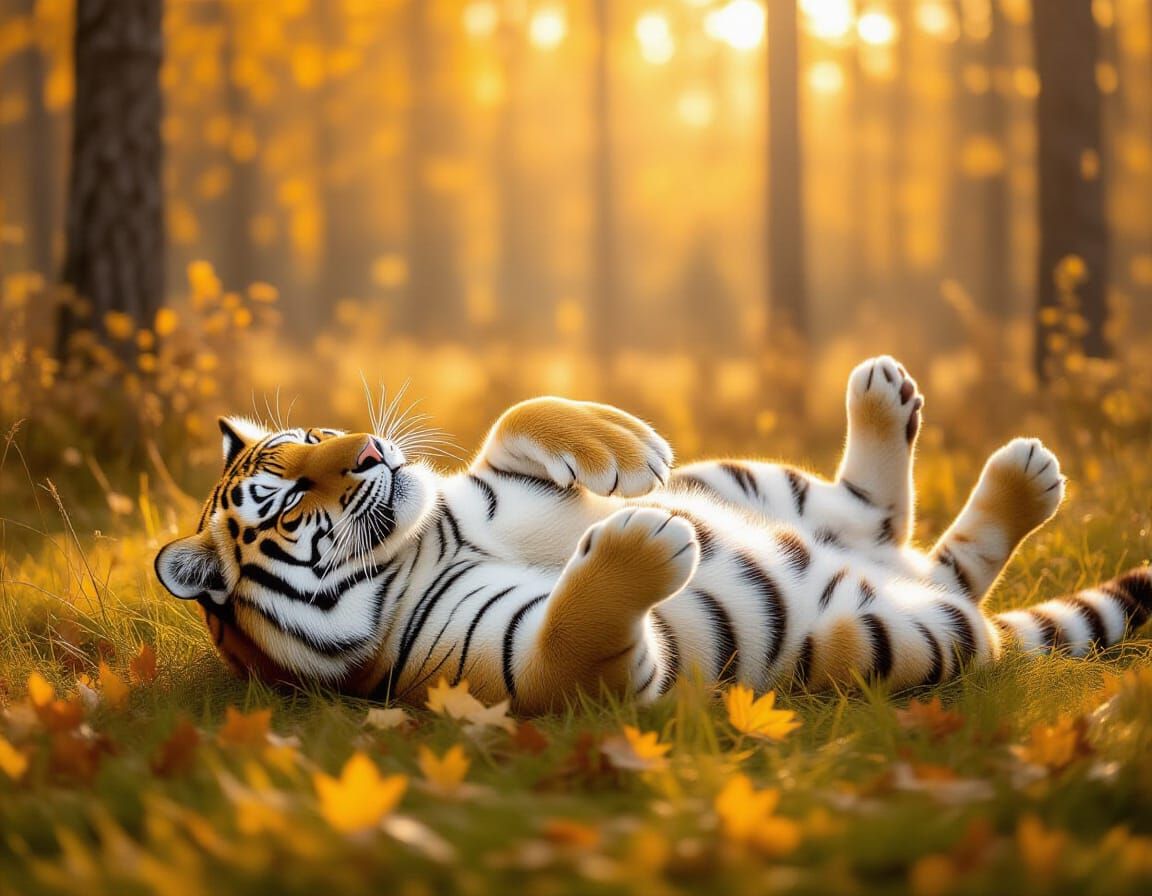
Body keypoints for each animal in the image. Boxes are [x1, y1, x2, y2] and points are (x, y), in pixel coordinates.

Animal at [155, 356, 1152, 713]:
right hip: (896, 637)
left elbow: (520, 410)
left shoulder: (477, 485)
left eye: (317, 436)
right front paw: (650, 541)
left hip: (746, 477)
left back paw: (916, 410)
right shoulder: (529, 672)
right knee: (948, 584)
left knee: (881, 515)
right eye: (287, 501)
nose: (371, 449)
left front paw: (626, 448)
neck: (422, 542)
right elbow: (566, 633)